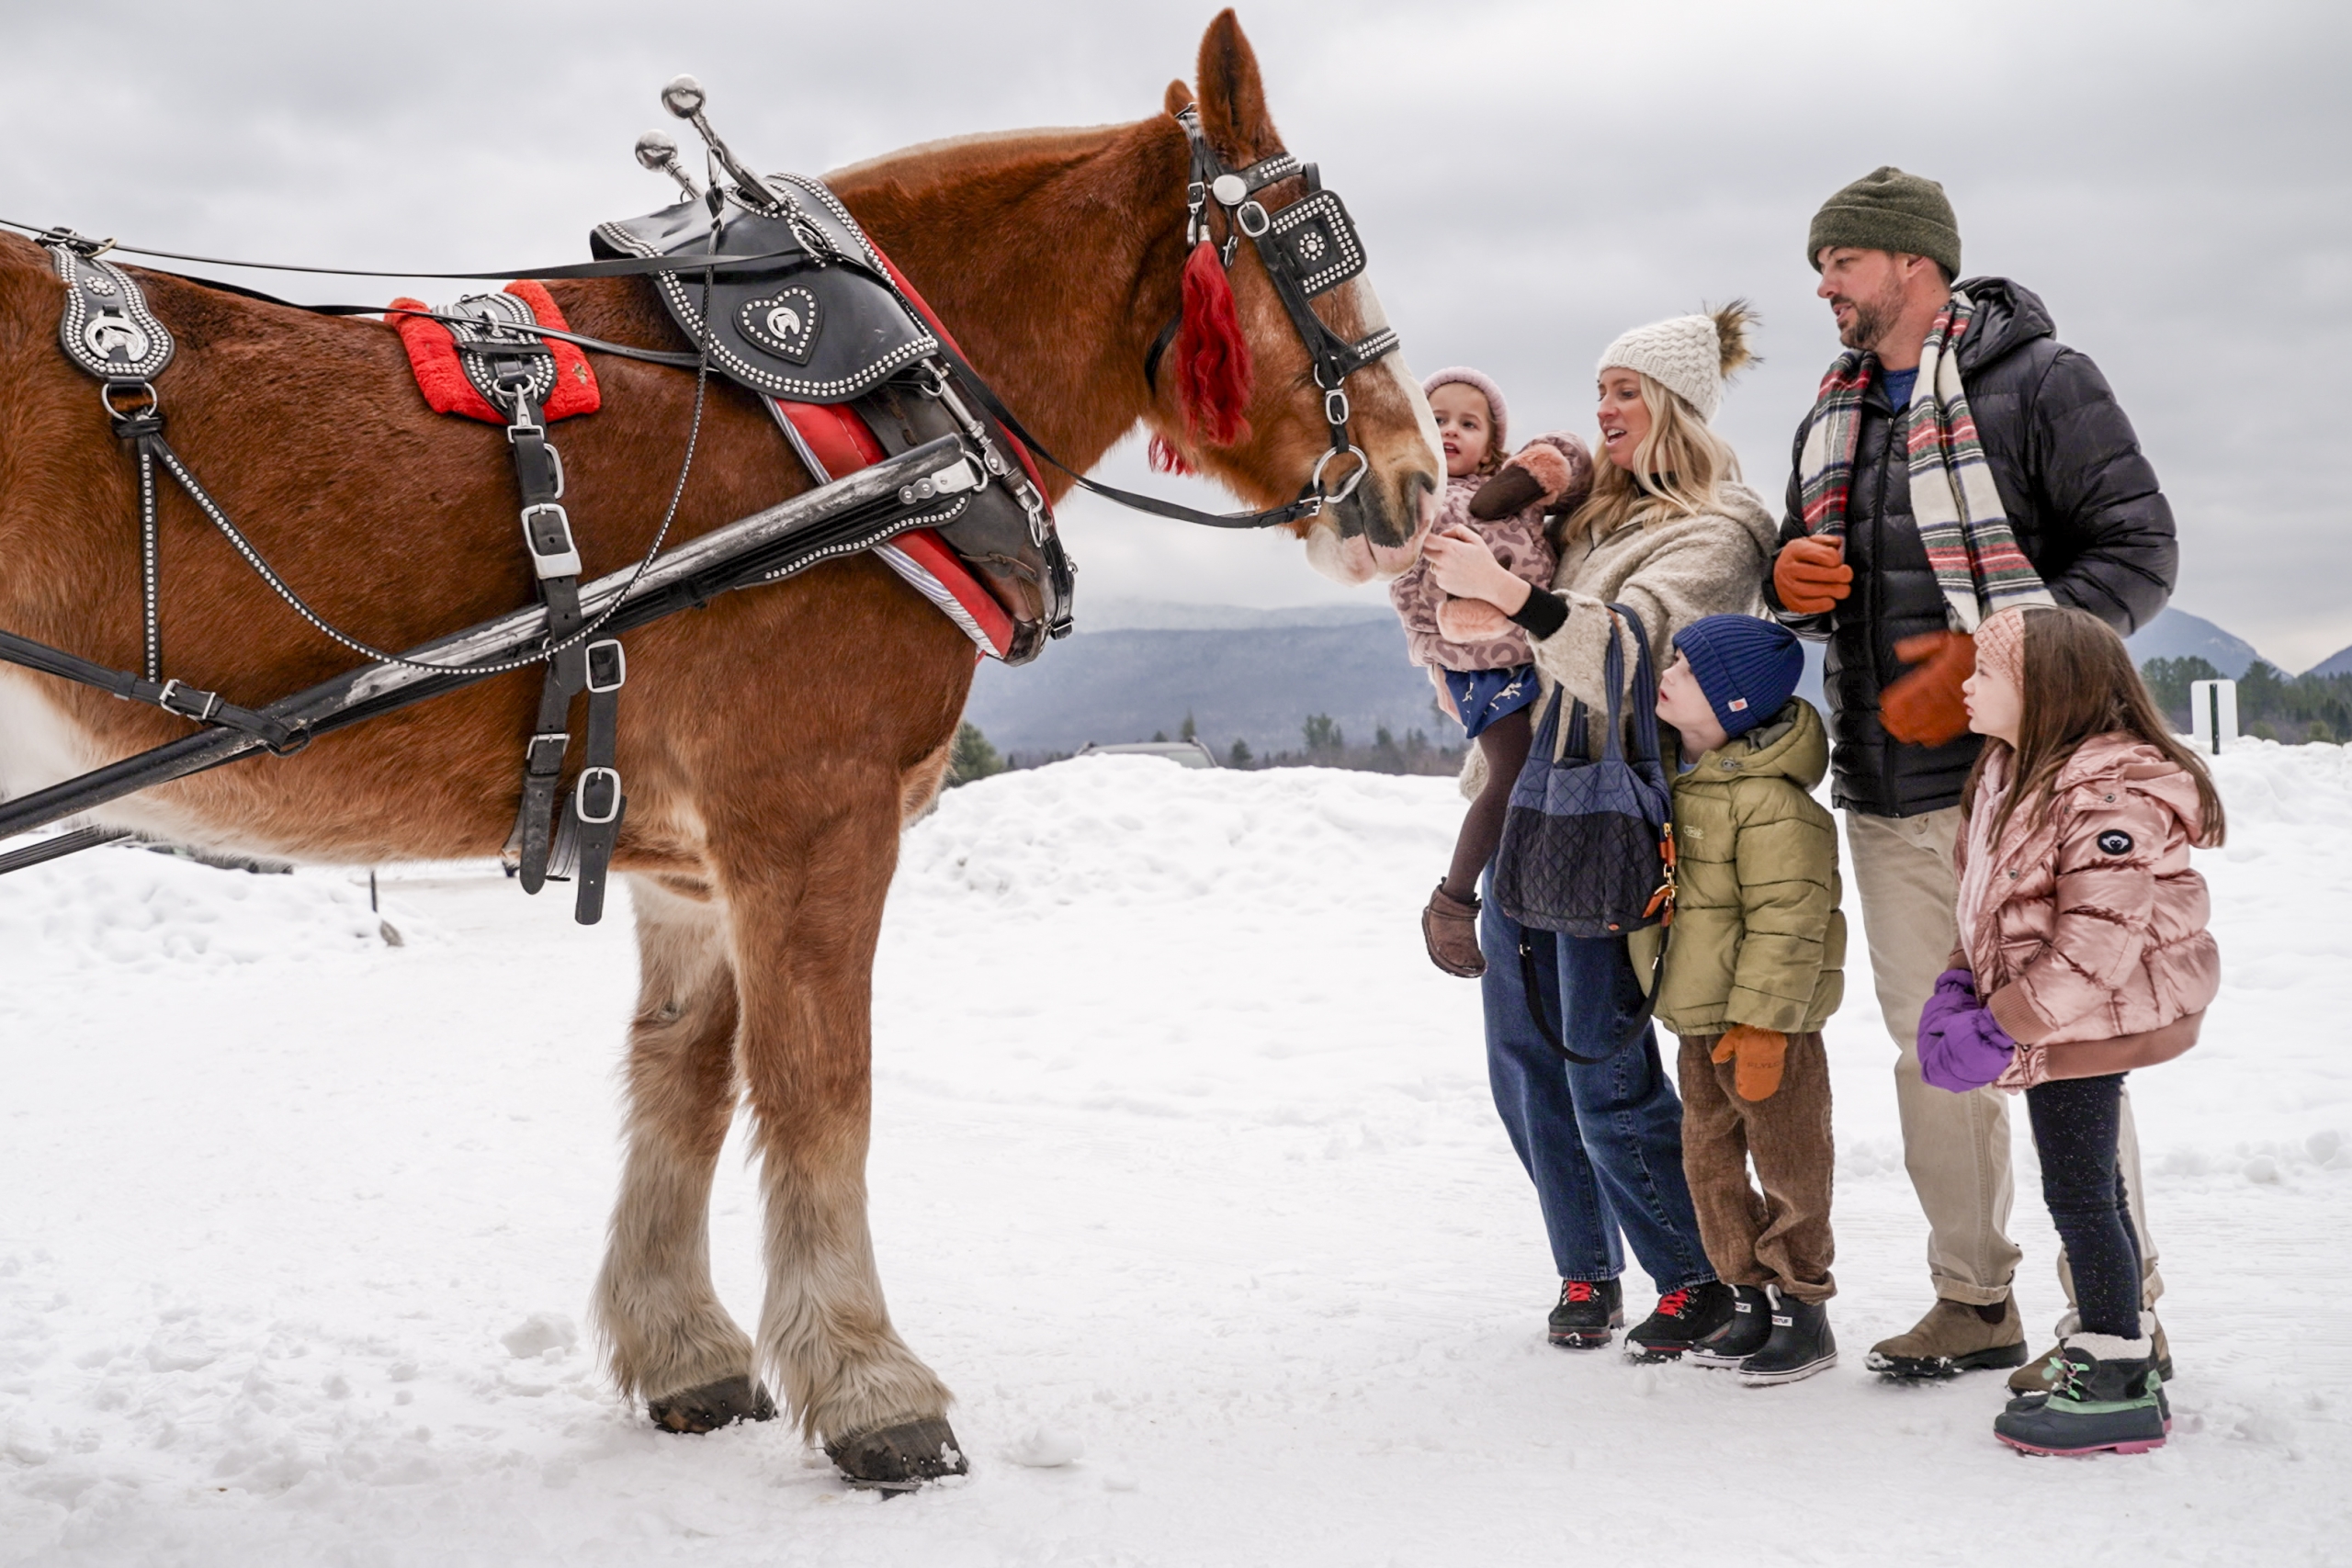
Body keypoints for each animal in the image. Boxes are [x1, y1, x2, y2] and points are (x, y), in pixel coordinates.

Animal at [0, 10, 1441, 1487]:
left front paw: (684, 1349)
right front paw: (871, 1384)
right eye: (1317, 245)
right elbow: (820, 1087)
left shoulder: (687, 860)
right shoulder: (812, 813)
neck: (873, 419)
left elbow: (683, 1079)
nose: (1417, 477)